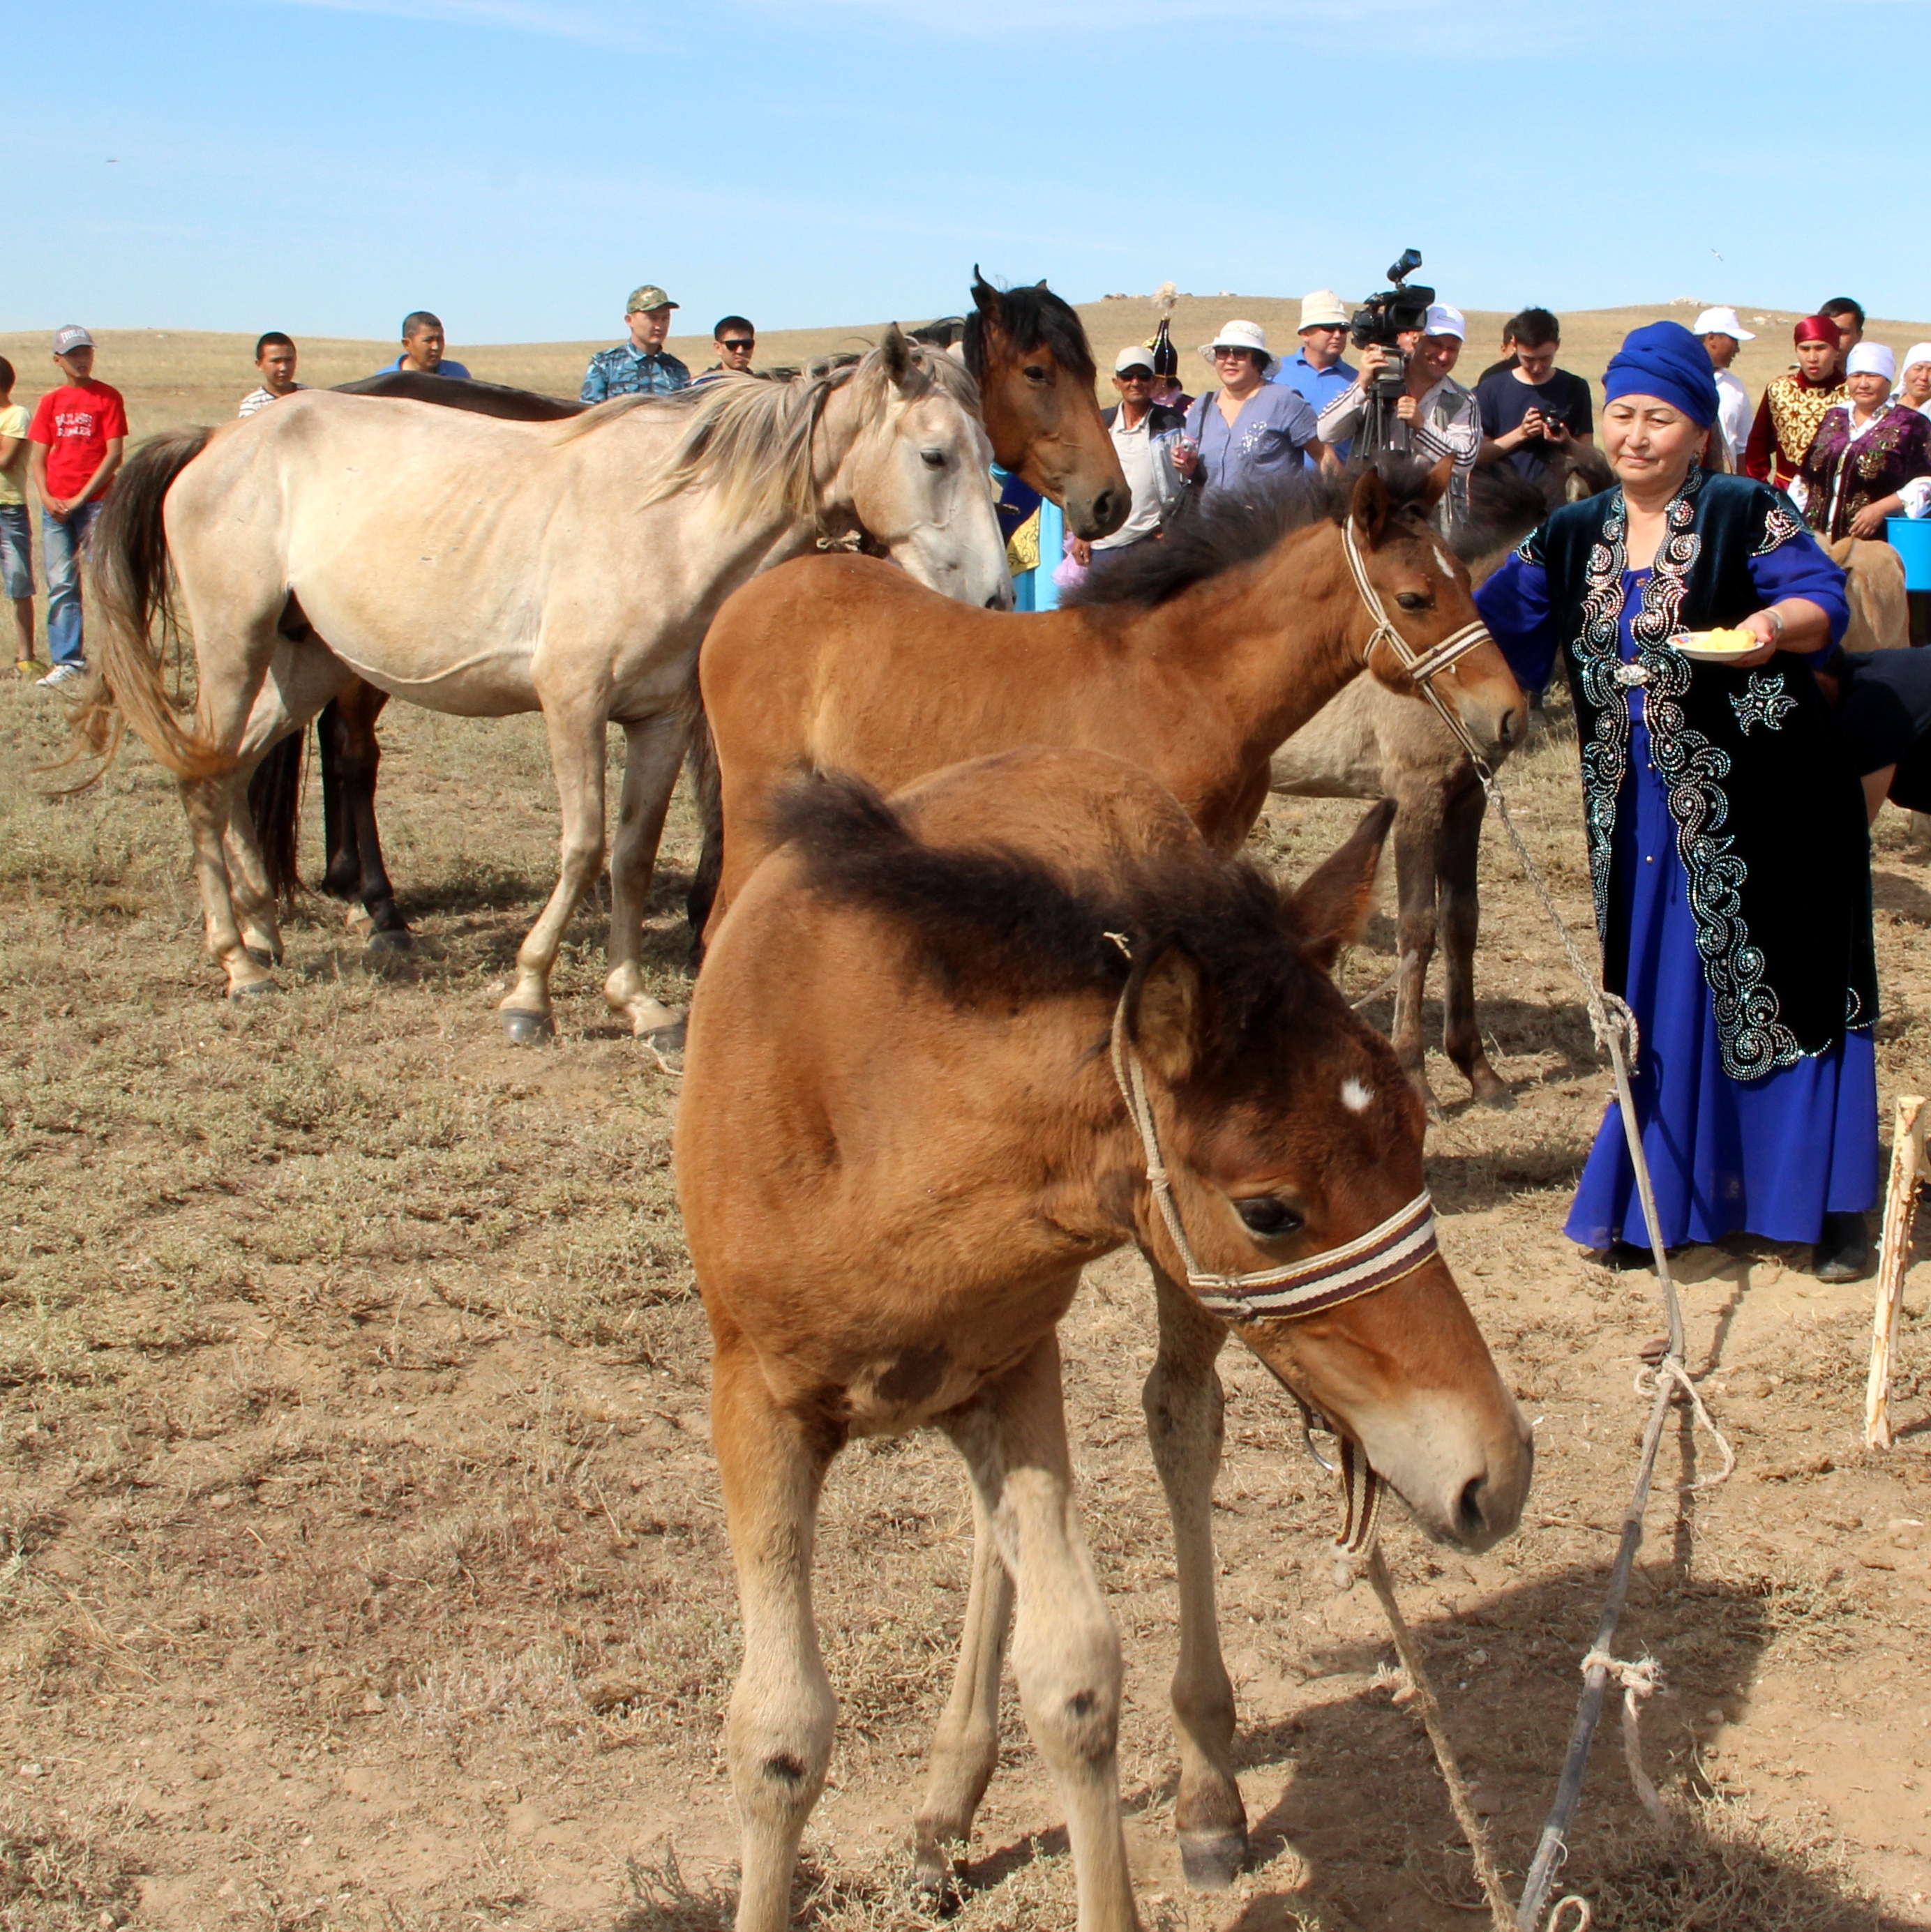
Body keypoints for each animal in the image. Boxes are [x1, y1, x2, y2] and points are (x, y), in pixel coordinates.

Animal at [81, 328, 1005, 1043]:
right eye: (933, 455)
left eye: (991, 459)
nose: (995, 599)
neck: (667, 520)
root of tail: (214, 441)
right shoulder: (572, 704)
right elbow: (583, 845)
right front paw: (529, 996)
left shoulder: (659, 717)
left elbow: (632, 852)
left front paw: (639, 1005)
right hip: (232, 645)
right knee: (203, 779)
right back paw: (238, 960)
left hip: (306, 663)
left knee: (232, 770)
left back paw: (263, 930)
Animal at [673, 746, 1531, 1932]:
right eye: (1271, 1209)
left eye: (1413, 1128)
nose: (1498, 1470)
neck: (872, 1120)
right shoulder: (756, 1400)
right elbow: (778, 1732)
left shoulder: (1014, 1368)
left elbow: (1073, 1675)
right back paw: (944, 1812)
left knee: (1180, 1422)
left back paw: (1204, 1794)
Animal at [696, 460, 1523, 942]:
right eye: (1414, 598)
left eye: (1465, 575)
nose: (1508, 714)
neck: (1186, 681)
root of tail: (748, 596)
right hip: (757, 798)